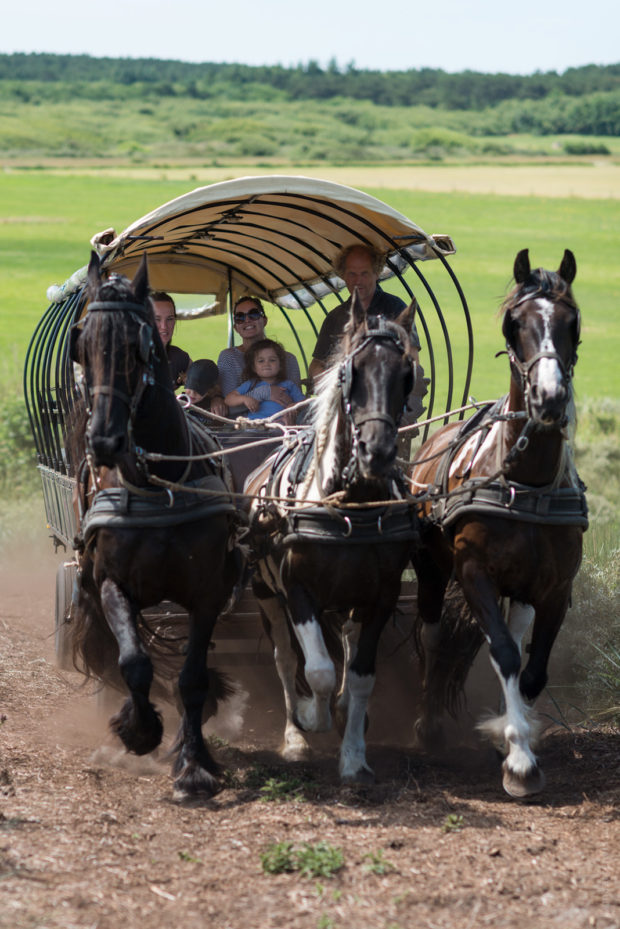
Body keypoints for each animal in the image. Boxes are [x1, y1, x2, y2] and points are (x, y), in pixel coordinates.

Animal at [69, 252, 241, 796]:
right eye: (82, 344)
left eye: (136, 345)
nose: (103, 439)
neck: (157, 481)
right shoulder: (109, 583)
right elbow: (134, 662)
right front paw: (138, 730)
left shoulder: (209, 591)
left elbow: (192, 677)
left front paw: (194, 761)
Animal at [245, 294, 418, 780]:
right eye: (350, 371)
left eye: (407, 373)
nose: (377, 450)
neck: (349, 504)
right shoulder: (296, 590)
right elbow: (317, 669)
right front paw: (310, 717)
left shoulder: (381, 596)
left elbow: (360, 676)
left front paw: (354, 754)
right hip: (264, 591)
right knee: (286, 659)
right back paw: (294, 735)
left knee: (346, 641)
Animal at [410, 248, 588, 796]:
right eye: (515, 323)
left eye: (572, 322)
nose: (549, 398)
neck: (524, 483)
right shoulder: (474, 575)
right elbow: (506, 655)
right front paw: (520, 765)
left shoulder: (556, 588)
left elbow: (531, 671)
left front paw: (516, 739)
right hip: (431, 570)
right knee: (432, 636)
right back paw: (428, 725)